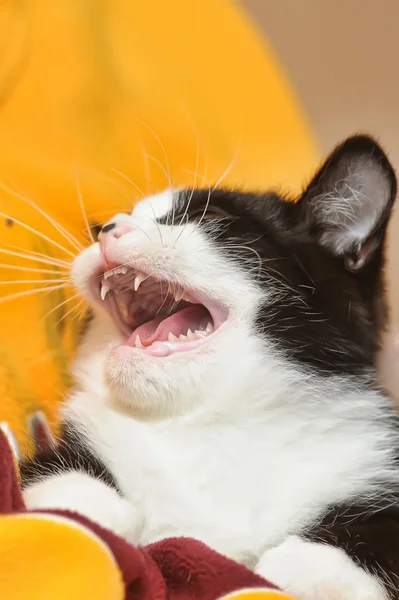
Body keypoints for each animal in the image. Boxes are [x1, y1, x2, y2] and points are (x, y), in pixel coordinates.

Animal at [21, 136, 399, 600]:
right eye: (102, 229)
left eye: (212, 217)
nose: (109, 230)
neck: (215, 426)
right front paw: (81, 499)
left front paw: (319, 565)